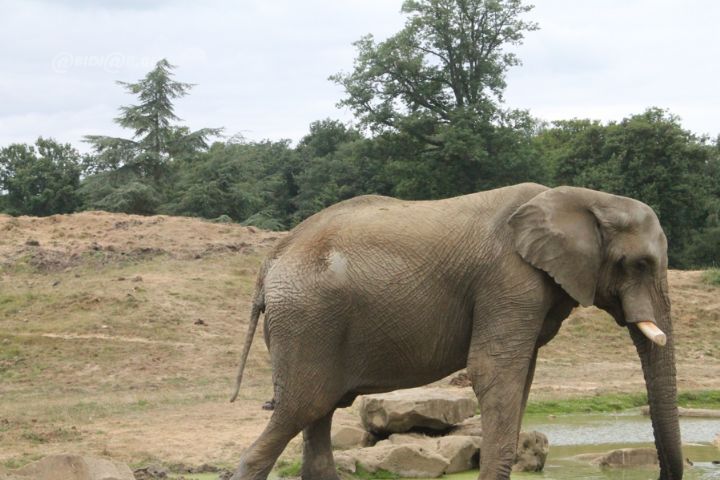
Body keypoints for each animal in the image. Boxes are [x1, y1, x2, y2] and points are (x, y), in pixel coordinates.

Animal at [230, 183, 682, 480]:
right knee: (299, 410)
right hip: (307, 321)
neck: (585, 198)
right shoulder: (509, 278)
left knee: (317, 417)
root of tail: (271, 261)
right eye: (639, 264)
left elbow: (520, 381)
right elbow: (493, 373)